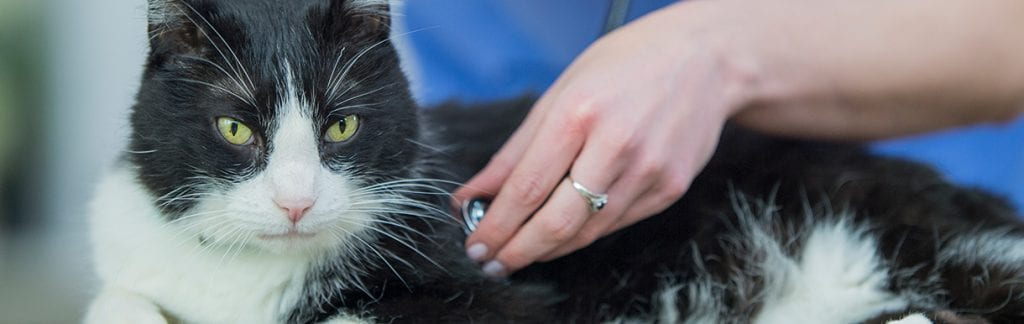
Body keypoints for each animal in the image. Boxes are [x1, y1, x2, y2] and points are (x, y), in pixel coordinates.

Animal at [88, 0, 1024, 324]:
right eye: (235, 130)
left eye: (342, 128)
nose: (293, 202)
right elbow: (115, 303)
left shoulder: (497, 298)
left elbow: (355, 317)